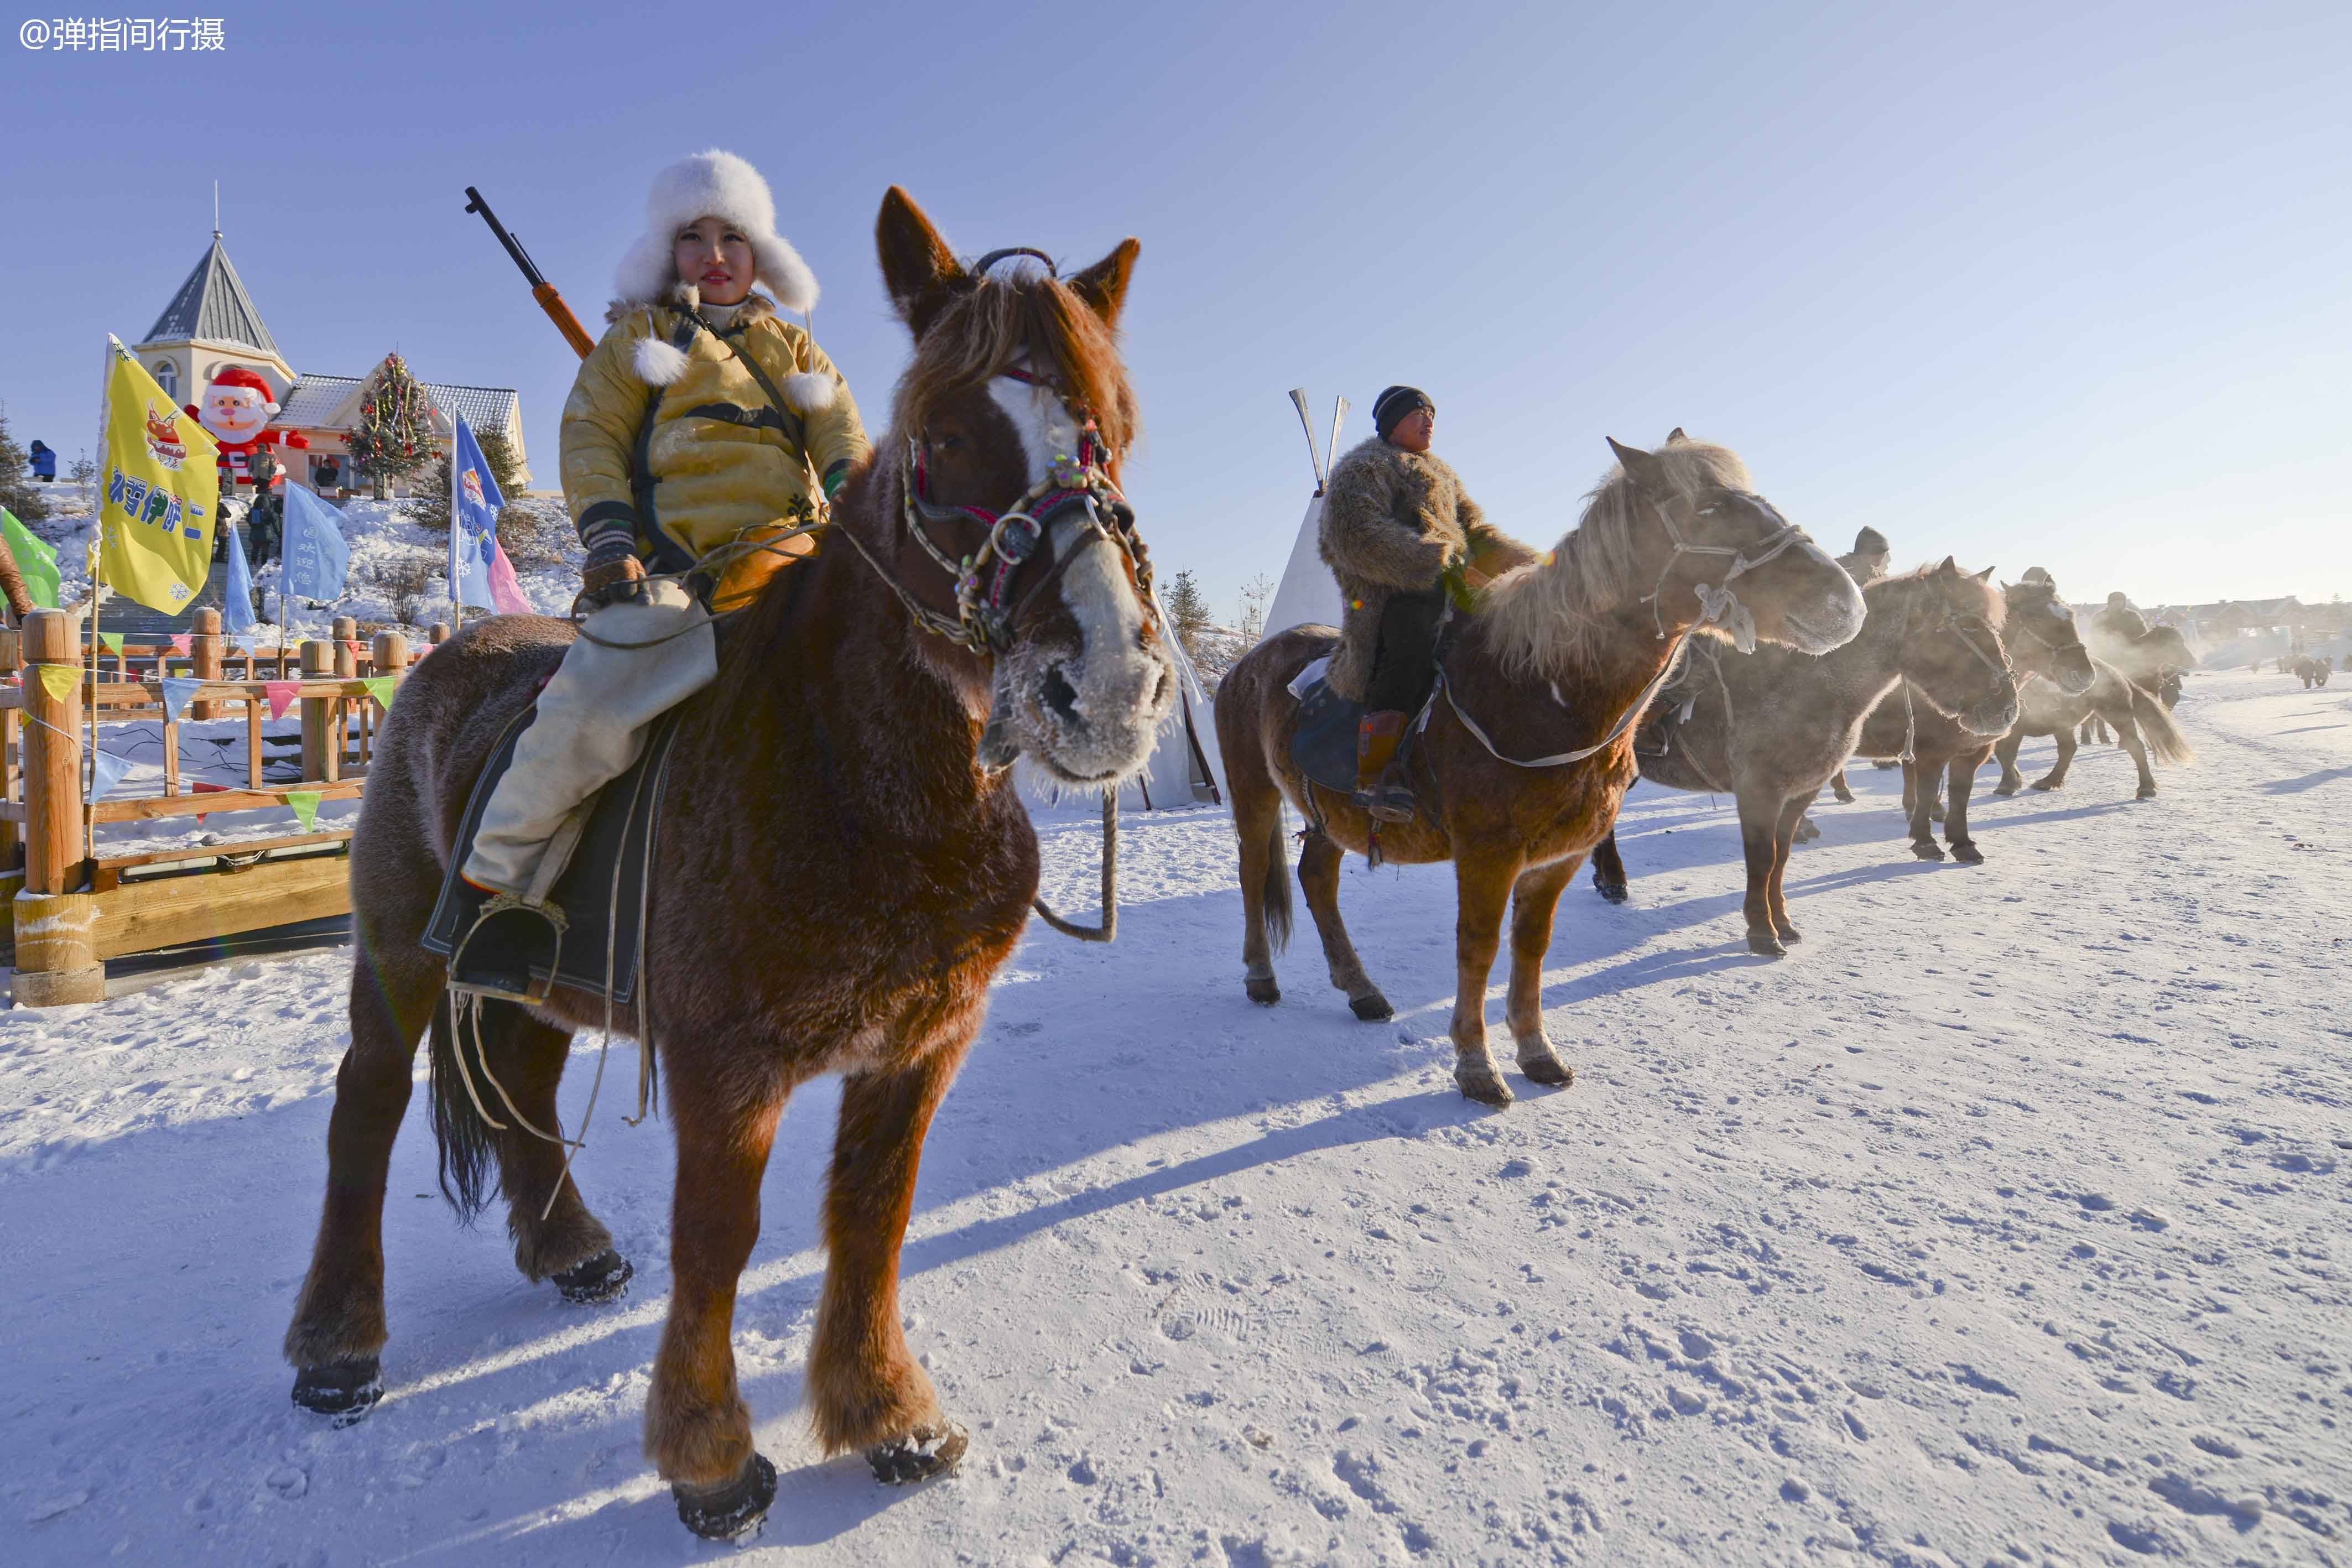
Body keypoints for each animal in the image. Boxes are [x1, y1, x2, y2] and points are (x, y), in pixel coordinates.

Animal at [289, 186, 1171, 1542]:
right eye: (942, 436)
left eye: (1110, 436)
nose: (1108, 687)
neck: (863, 781)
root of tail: (442, 661)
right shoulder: (724, 1064)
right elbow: (719, 1238)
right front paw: (709, 1457)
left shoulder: (922, 1044)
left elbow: (871, 1216)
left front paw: (885, 1410)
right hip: (396, 957)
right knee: (366, 1109)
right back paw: (339, 1343)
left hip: (535, 980)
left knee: (525, 1082)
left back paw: (570, 1246)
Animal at [1223, 435, 1862, 1109]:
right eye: (1710, 509)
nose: (1843, 601)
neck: (1538, 692)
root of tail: (1249, 664)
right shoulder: (1488, 853)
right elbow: (1477, 947)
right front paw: (1476, 1064)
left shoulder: (1559, 857)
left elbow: (1531, 945)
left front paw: (1535, 1051)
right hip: (1252, 793)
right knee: (1252, 874)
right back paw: (1261, 977)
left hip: (1330, 815)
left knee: (1317, 879)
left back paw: (1361, 989)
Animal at [1580, 564, 2022, 959]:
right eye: (1963, 628)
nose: (2007, 709)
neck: (1803, 686)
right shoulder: (1759, 792)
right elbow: (1763, 859)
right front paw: (1762, 931)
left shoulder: (1800, 794)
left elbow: (1782, 857)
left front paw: (1783, 922)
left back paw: (1609, 880)